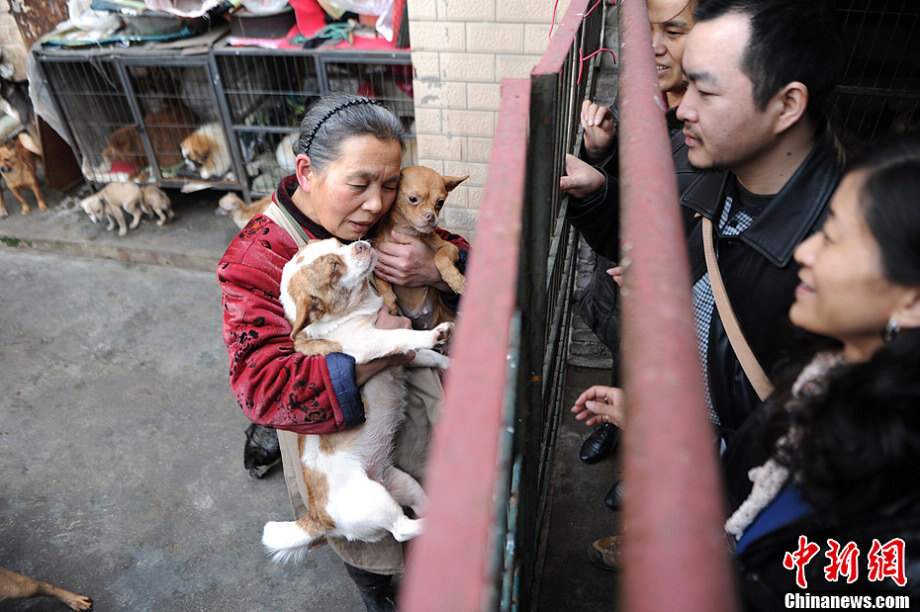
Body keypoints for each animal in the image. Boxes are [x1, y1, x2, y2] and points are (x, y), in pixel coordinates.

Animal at [260, 237, 452, 560]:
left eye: (338, 243)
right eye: (334, 269)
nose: (360, 244)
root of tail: (317, 517)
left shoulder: (402, 356)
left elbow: (425, 356)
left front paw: (449, 363)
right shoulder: (370, 343)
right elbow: (405, 337)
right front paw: (434, 335)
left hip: (402, 483)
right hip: (376, 501)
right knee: (402, 529)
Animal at [372, 165, 468, 330]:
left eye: (440, 202)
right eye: (413, 199)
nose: (431, 216)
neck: (406, 230)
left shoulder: (450, 248)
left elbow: (440, 257)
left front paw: (456, 280)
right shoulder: (377, 258)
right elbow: (382, 283)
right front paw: (389, 303)